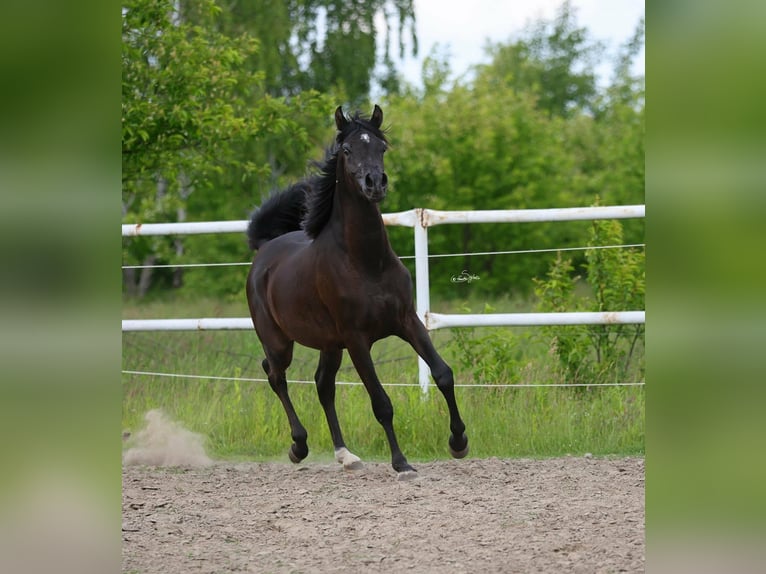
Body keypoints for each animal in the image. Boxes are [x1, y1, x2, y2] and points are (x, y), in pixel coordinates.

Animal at [245, 105, 468, 479]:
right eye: (347, 150)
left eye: (381, 147)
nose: (375, 183)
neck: (366, 262)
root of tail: (264, 250)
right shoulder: (357, 339)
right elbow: (381, 403)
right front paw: (402, 463)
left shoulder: (407, 322)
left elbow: (443, 374)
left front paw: (458, 442)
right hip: (279, 342)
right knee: (275, 375)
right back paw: (298, 446)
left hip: (329, 344)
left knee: (323, 385)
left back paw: (345, 455)